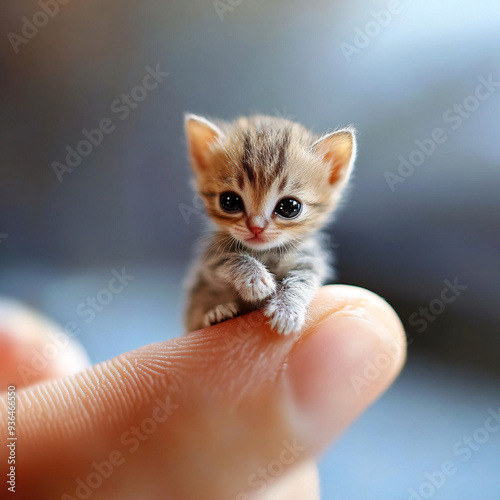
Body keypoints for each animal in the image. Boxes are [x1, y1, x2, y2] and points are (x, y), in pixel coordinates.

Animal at [184, 111, 356, 334]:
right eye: (229, 201)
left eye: (290, 207)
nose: (256, 227)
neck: (265, 253)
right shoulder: (210, 259)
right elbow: (231, 258)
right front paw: (254, 279)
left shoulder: (309, 260)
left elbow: (302, 281)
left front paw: (287, 308)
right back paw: (217, 315)